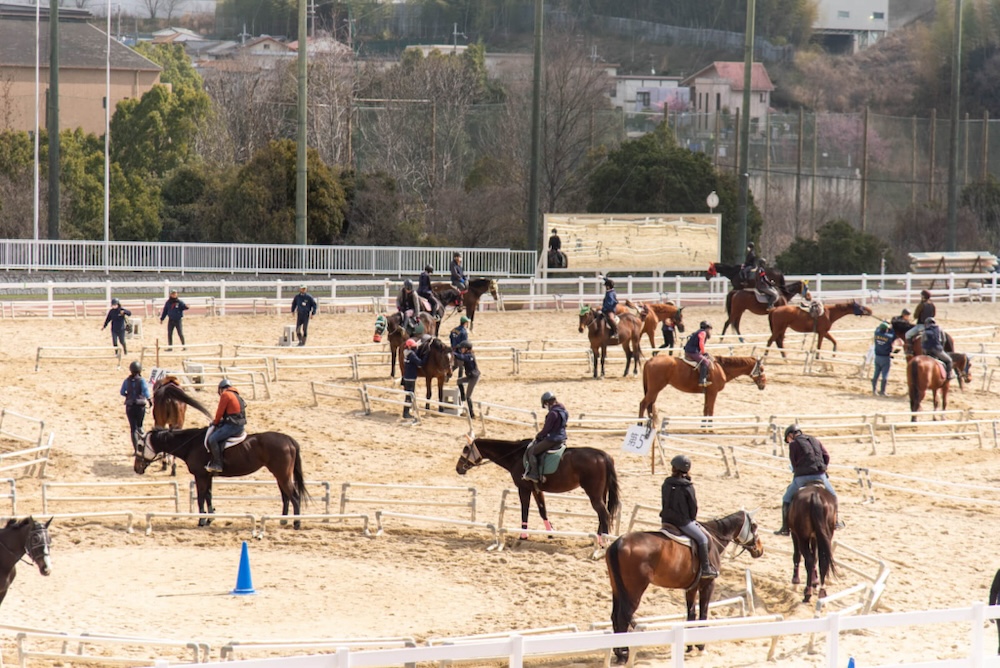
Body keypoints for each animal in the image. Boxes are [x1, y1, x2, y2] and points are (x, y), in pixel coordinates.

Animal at [134, 428, 308, 528]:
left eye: (140, 446)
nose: (137, 468)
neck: (192, 444)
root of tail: (289, 440)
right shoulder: (208, 476)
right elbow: (209, 497)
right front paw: (210, 519)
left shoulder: (200, 476)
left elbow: (201, 498)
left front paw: (201, 521)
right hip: (280, 475)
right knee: (286, 497)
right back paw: (284, 520)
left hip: (282, 475)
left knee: (294, 497)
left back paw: (297, 523)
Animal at [458, 438, 620, 536]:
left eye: (466, 449)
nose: (458, 468)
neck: (516, 456)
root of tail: (603, 455)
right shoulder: (537, 490)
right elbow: (543, 511)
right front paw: (550, 532)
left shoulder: (524, 489)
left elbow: (525, 510)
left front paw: (523, 535)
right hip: (601, 494)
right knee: (602, 515)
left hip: (594, 495)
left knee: (604, 514)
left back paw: (601, 544)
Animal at [600, 508, 764, 660]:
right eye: (754, 526)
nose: (759, 550)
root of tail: (619, 542)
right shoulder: (708, 585)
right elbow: (703, 614)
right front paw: (701, 646)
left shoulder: (691, 588)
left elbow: (691, 614)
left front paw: (689, 646)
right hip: (635, 590)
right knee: (624, 616)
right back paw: (624, 653)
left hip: (617, 588)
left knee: (615, 616)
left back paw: (618, 652)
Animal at [636, 354, 768, 418]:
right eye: (761, 369)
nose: (764, 384)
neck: (721, 368)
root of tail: (650, 360)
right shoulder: (713, 392)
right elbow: (711, 409)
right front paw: (709, 429)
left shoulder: (707, 393)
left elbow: (705, 409)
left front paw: (704, 427)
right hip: (654, 389)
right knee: (643, 404)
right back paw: (640, 423)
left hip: (654, 390)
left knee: (650, 405)